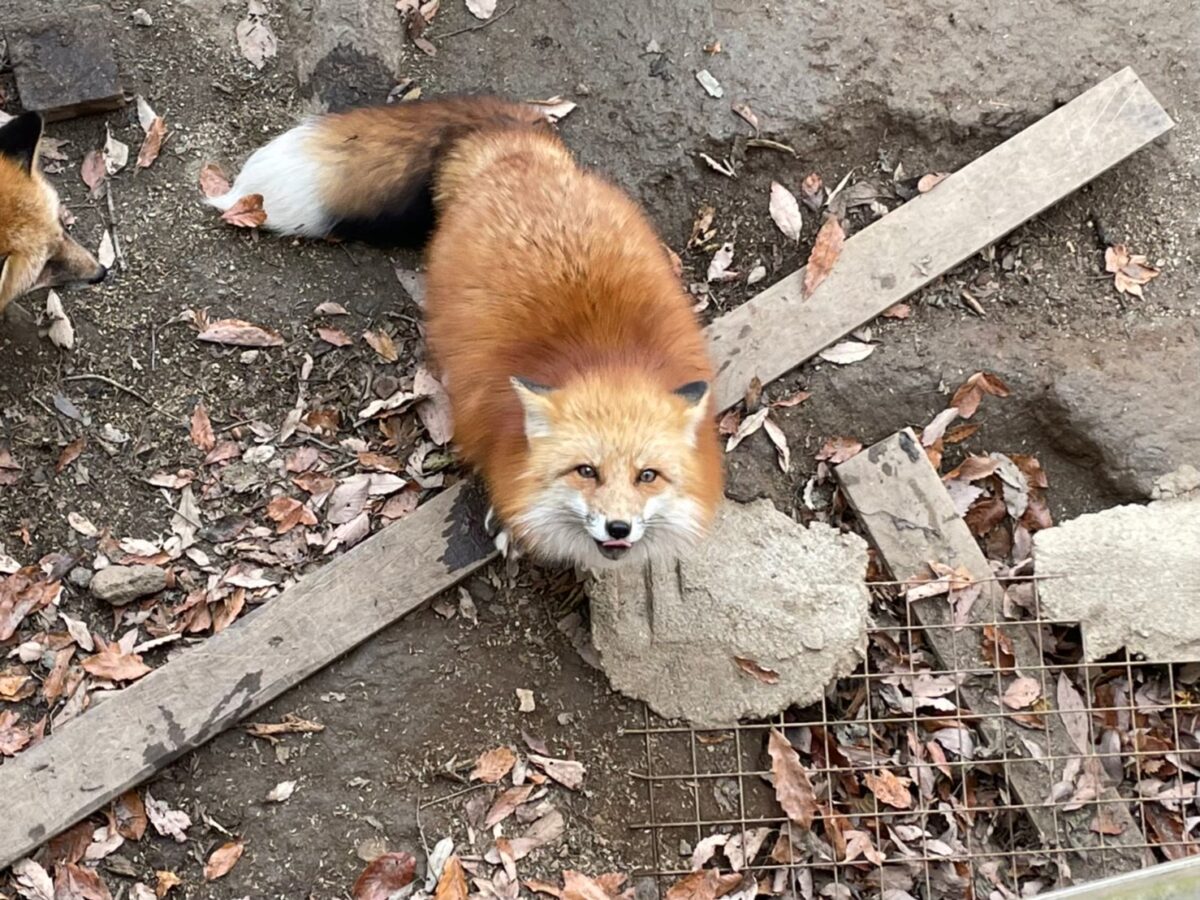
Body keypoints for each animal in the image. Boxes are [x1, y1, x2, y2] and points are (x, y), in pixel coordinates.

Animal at [208, 96, 724, 568]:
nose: (619, 527)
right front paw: (511, 527)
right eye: (586, 471)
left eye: (647, 476)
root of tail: (511, 149)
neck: (608, 356)